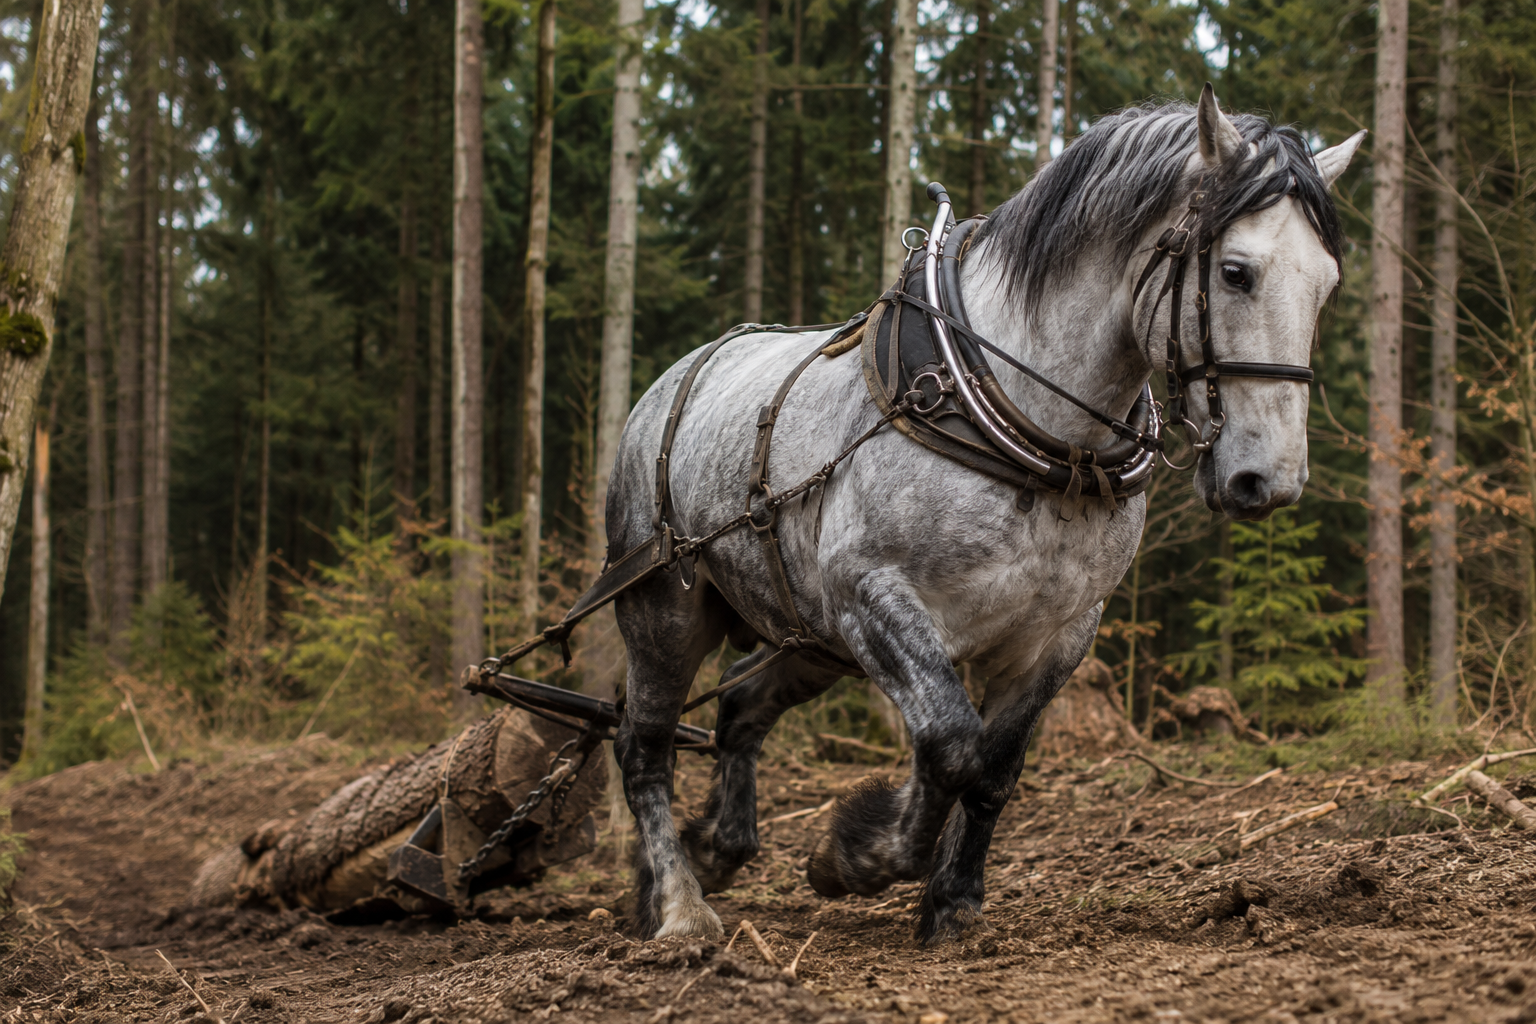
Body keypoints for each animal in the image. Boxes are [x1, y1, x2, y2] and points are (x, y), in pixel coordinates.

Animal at [603, 85, 1364, 944]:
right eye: (1236, 272)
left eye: (1328, 284)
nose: (1271, 480)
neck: (1026, 422)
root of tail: (669, 383)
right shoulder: (873, 599)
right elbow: (950, 743)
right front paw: (858, 855)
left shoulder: (1058, 634)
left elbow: (995, 770)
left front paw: (952, 901)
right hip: (666, 608)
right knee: (643, 745)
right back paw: (675, 901)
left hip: (813, 639)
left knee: (738, 704)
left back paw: (714, 850)